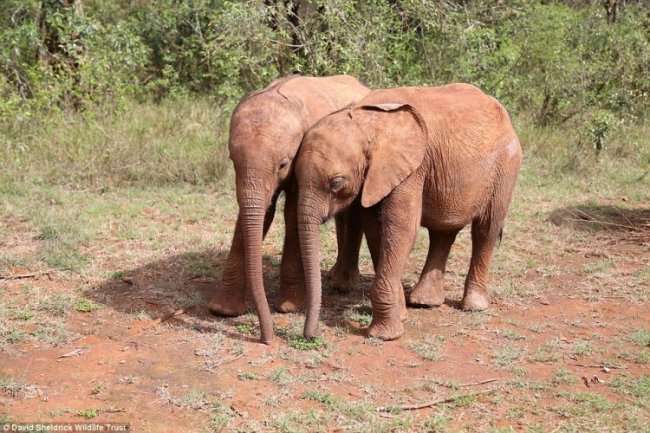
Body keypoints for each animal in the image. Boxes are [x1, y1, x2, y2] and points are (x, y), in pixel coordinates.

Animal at [208, 75, 370, 344]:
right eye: (232, 160)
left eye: (283, 164)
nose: (267, 338)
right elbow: (260, 213)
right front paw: (223, 310)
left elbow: (292, 212)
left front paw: (289, 307)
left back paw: (340, 284)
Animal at [294, 83, 520, 340]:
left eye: (336, 183)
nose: (309, 336)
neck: (366, 121)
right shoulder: (376, 175)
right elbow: (377, 229)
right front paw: (400, 316)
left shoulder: (412, 169)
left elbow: (402, 229)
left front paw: (385, 335)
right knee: (443, 231)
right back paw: (424, 302)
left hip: (506, 166)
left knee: (486, 229)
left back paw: (473, 306)